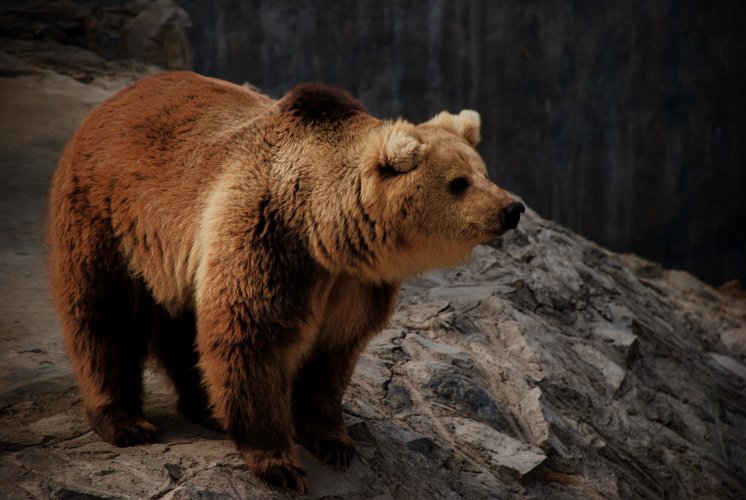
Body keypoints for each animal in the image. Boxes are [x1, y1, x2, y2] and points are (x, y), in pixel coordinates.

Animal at [48, 72, 524, 494]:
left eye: (484, 172)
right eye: (458, 183)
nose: (512, 207)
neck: (329, 233)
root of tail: (116, 99)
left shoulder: (354, 284)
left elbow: (331, 355)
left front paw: (333, 441)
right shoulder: (270, 235)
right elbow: (255, 338)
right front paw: (280, 465)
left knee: (184, 323)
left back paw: (205, 407)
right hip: (110, 214)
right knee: (105, 315)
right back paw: (125, 421)